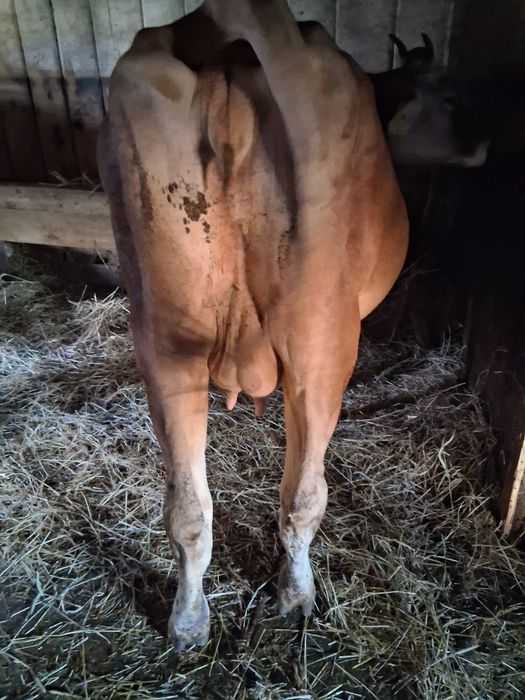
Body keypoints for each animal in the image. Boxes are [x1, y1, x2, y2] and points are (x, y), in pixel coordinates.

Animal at [98, 0, 409, 650]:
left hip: (163, 341)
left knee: (188, 510)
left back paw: (188, 624)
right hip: (322, 342)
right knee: (303, 497)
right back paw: (296, 598)